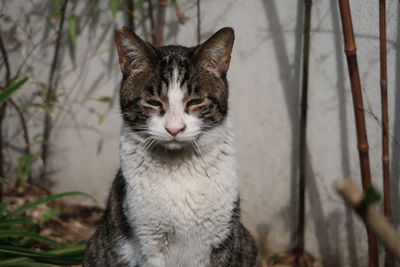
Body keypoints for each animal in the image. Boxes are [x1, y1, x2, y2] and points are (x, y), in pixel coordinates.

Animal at [85, 26, 260, 267]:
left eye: (195, 101)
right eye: (153, 102)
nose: (174, 128)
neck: (180, 171)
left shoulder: (221, 239)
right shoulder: (148, 242)